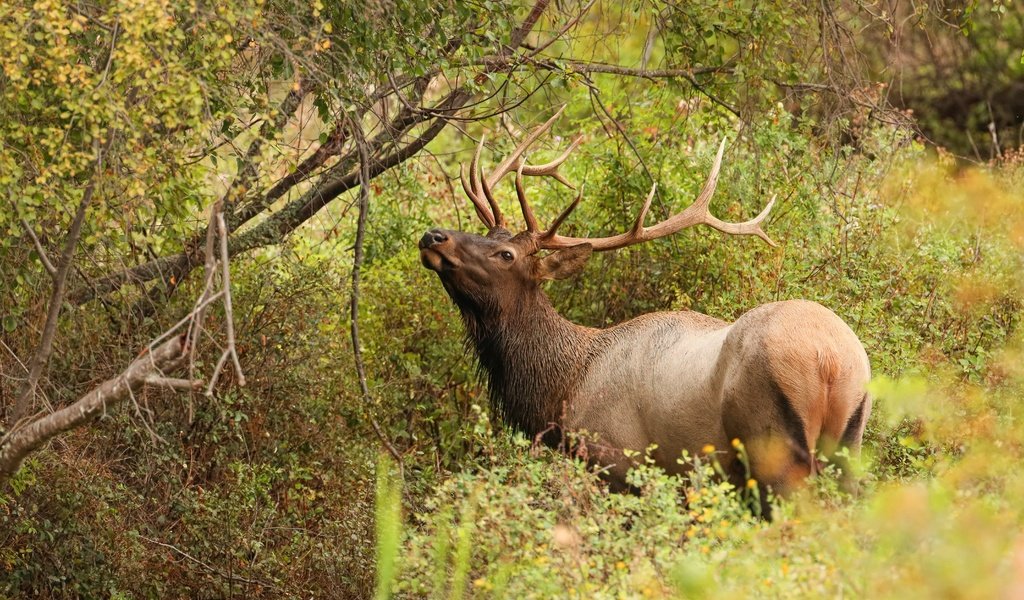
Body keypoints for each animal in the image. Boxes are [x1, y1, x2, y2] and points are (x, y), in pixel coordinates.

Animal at [415, 107, 872, 509]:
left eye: (506, 254)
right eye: (488, 235)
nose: (433, 235)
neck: (564, 389)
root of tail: (831, 359)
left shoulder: (616, 461)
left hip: (773, 445)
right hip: (849, 446)